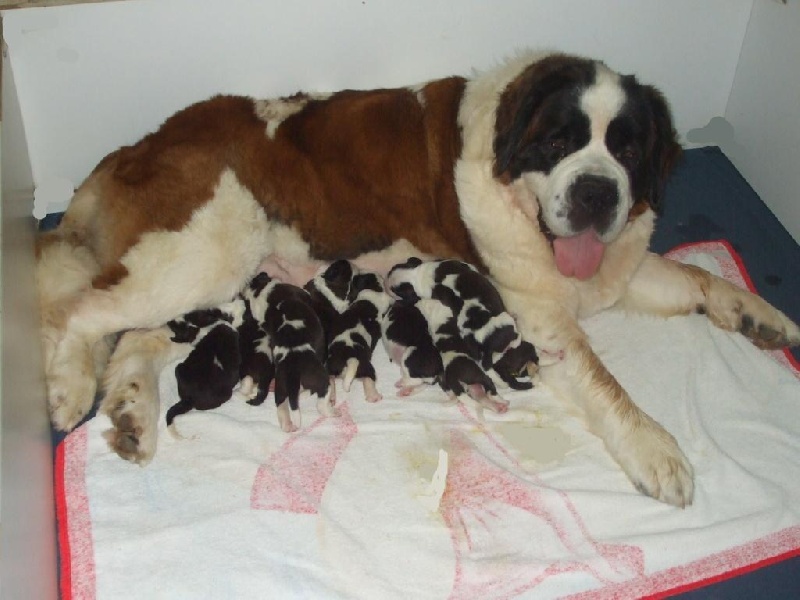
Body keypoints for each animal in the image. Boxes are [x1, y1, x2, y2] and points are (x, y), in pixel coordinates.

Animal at [164, 302, 245, 434]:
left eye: (188, 314)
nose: (169, 321)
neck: (197, 327)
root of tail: (189, 399)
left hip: (178, 368)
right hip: (227, 394)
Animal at [326, 272, 392, 404]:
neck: (373, 288)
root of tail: (349, 356)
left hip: (330, 365)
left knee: (330, 379)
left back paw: (331, 397)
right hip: (367, 368)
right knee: (369, 379)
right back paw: (374, 396)